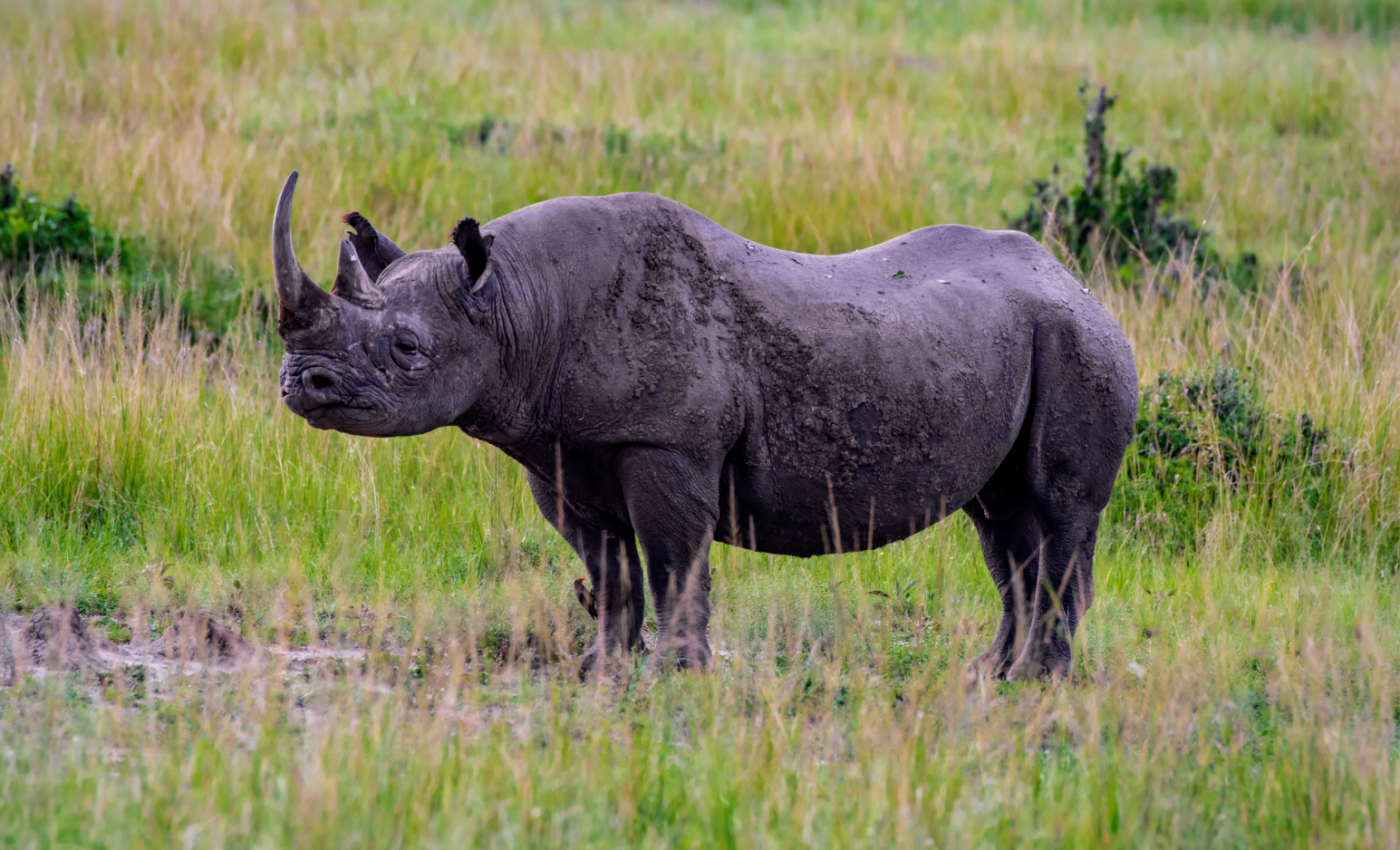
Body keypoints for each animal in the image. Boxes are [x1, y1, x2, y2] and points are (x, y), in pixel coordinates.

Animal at [272, 171, 1137, 680]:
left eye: (408, 350)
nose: (304, 383)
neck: (518, 305)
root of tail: (1074, 278)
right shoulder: (562, 452)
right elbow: (609, 572)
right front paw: (601, 671)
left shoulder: (667, 440)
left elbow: (672, 560)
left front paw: (675, 675)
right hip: (1018, 337)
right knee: (1002, 523)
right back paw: (990, 675)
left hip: (1077, 342)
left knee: (1059, 510)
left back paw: (1039, 682)